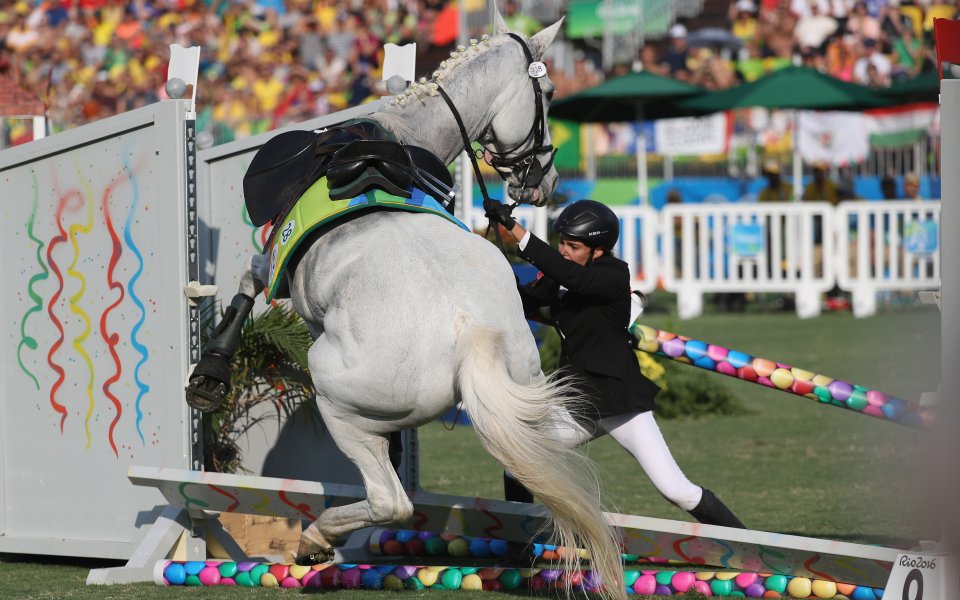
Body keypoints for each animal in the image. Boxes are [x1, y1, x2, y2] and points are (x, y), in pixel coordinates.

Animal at [203, 12, 628, 600]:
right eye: (549, 93)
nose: (548, 182)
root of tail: (469, 334)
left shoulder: (270, 267)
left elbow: (245, 286)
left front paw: (209, 373)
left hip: (339, 406)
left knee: (390, 502)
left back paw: (316, 540)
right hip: (526, 401)